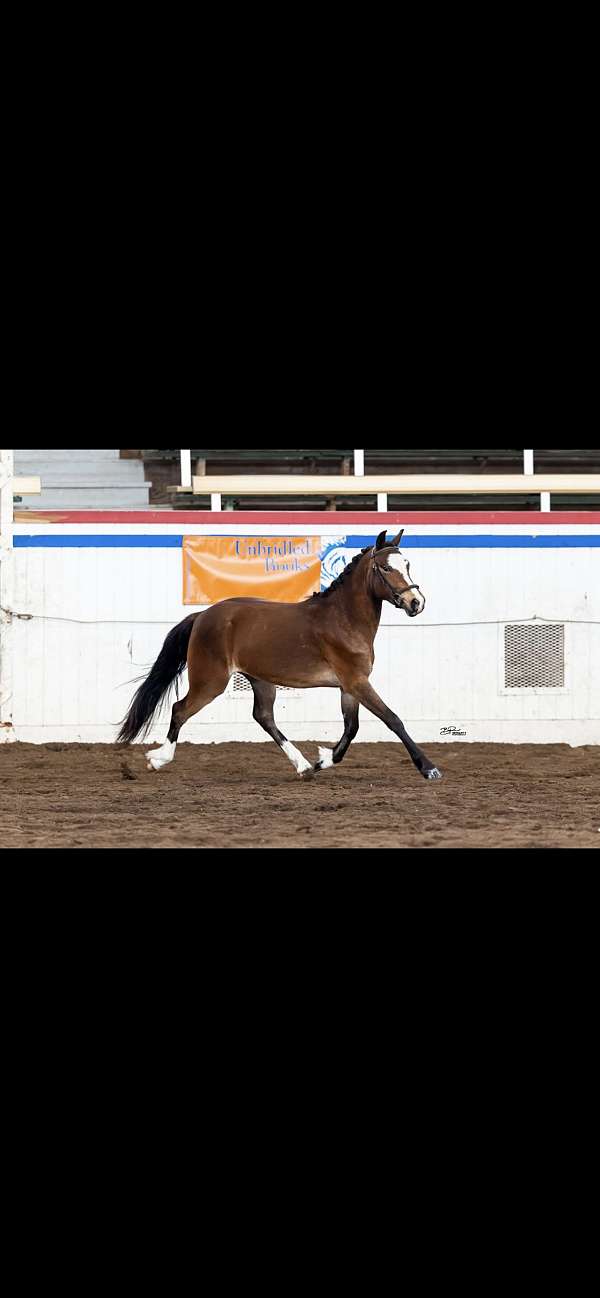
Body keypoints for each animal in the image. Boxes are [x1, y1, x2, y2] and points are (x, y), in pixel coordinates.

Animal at [117, 529, 442, 781]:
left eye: (407, 564)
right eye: (386, 569)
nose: (416, 602)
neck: (343, 618)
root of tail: (202, 616)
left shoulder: (349, 687)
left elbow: (351, 729)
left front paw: (323, 760)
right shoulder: (357, 682)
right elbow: (392, 719)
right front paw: (429, 769)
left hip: (260, 680)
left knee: (264, 717)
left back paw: (303, 766)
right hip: (210, 681)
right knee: (179, 709)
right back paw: (158, 760)